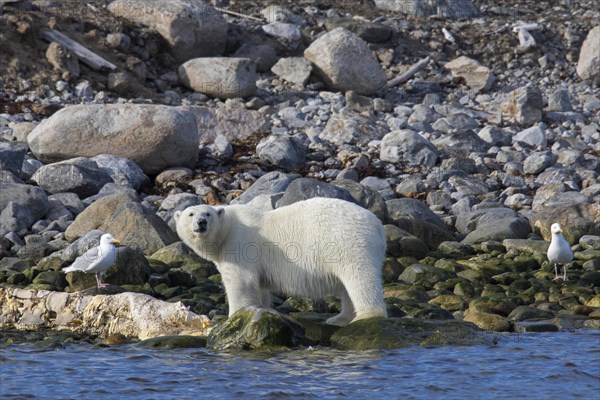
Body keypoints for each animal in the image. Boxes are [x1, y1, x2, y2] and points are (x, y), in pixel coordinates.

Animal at [175, 197, 390, 324]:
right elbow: (259, 289)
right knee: (347, 287)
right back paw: (338, 318)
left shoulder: (240, 245)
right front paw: (258, 312)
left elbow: (240, 282)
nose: (201, 222)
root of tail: (378, 225)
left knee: (360, 278)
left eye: (208, 213)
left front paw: (232, 316)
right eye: (190, 214)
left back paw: (366, 315)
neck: (227, 229)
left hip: (348, 243)